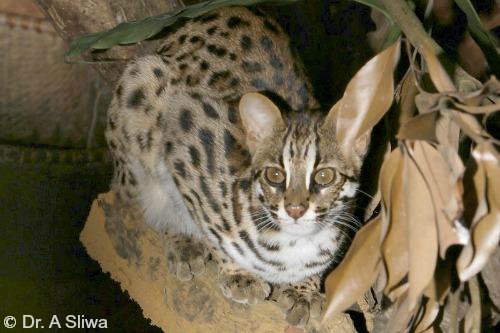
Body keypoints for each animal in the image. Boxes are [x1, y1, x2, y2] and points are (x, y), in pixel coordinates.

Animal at [105, 6, 370, 326]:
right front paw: (237, 272)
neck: (295, 244)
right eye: (274, 175)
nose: (295, 209)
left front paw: (304, 290)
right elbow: (207, 225)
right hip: (142, 83)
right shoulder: (183, 133)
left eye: (324, 176)